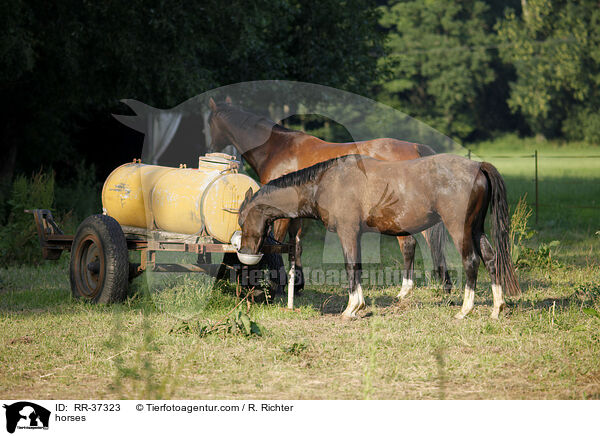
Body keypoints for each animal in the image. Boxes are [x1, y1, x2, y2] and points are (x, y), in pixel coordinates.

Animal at [209, 99, 452, 294]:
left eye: (209, 123)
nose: (210, 148)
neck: (278, 149)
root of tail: (415, 147)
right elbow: (296, 245)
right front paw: (296, 285)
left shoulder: (280, 213)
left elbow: (278, 242)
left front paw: (278, 285)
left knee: (411, 245)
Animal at [237, 155, 524, 318]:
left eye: (241, 219)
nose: (247, 254)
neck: (324, 182)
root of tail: (478, 166)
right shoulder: (356, 235)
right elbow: (358, 267)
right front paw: (359, 306)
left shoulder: (348, 233)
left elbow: (350, 267)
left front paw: (352, 309)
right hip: (476, 228)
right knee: (490, 257)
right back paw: (497, 308)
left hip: (460, 228)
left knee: (472, 261)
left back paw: (465, 310)